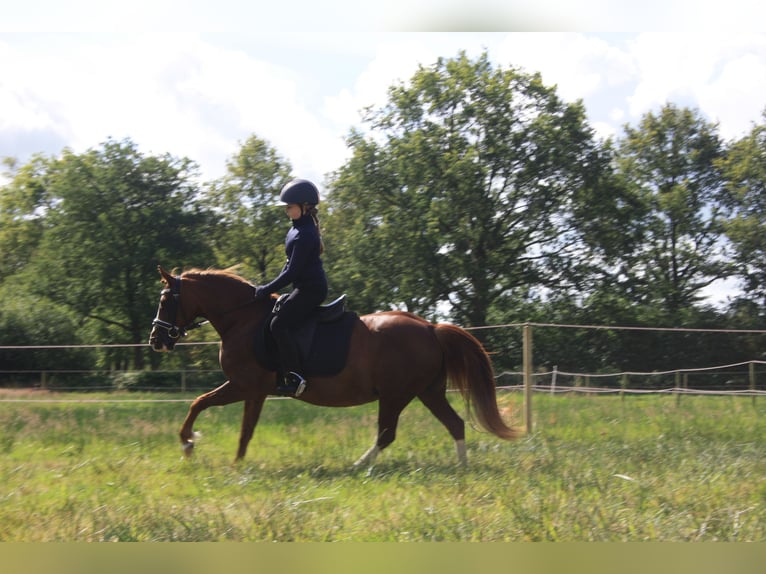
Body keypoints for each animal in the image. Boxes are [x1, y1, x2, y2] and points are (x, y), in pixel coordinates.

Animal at [148, 266, 520, 468]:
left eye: (165, 300)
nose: (156, 340)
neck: (243, 319)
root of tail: (430, 327)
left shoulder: (244, 386)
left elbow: (203, 406)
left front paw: (189, 444)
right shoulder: (254, 391)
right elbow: (238, 426)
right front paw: (232, 462)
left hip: (396, 395)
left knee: (387, 434)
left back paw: (359, 467)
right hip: (427, 392)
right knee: (454, 424)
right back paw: (462, 469)